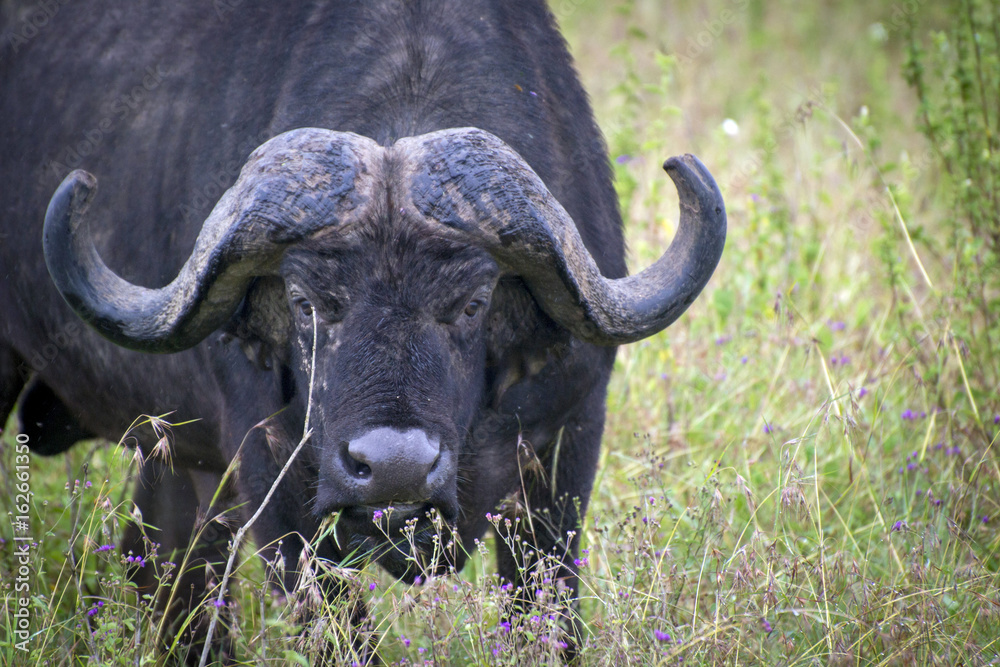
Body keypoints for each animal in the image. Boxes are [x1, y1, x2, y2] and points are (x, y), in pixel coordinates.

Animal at [0, 0, 720, 664]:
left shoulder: (568, 443)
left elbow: (545, 610)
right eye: (304, 302)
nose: (394, 469)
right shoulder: (275, 485)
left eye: (473, 303)